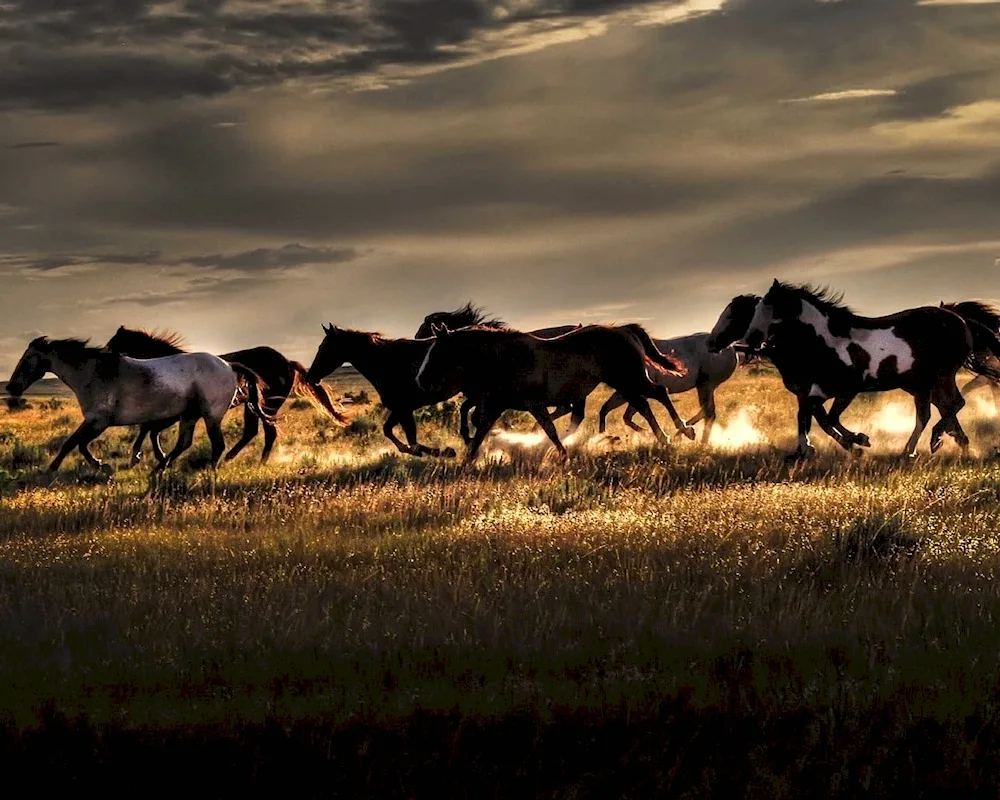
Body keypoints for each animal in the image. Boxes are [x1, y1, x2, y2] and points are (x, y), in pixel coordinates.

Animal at [4, 336, 274, 472]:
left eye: (27, 358)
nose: (11, 387)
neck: (95, 373)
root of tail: (229, 365)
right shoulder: (96, 422)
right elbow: (78, 444)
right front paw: (102, 465)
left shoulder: (98, 421)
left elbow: (73, 443)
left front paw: (53, 470)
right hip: (189, 415)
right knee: (184, 443)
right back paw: (159, 469)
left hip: (210, 416)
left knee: (217, 445)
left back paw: (206, 471)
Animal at [104, 324, 348, 462]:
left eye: (113, 343)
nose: (105, 358)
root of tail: (287, 362)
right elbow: (148, 429)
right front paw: (151, 456)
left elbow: (148, 429)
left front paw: (147, 456)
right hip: (254, 406)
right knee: (253, 432)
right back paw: (233, 458)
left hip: (267, 404)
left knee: (266, 432)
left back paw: (251, 461)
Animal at [708, 280, 1000, 456]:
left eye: (767, 309)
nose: (712, 343)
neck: (822, 342)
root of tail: (959, 319)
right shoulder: (813, 391)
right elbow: (811, 416)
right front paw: (809, 449)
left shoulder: (843, 389)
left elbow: (824, 417)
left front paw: (857, 442)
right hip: (925, 382)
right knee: (941, 408)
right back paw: (949, 443)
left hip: (939, 375)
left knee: (946, 407)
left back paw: (925, 445)